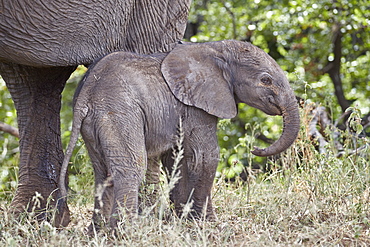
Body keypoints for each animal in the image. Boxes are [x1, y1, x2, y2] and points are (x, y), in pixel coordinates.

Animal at [58, 40, 300, 228]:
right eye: (266, 80)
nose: (256, 148)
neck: (215, 48)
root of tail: (86, 93)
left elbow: (178, 159)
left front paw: (184, 219)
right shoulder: (196, 107)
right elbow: (205, 157)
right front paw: (207, 223)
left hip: (93, 122)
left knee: (102, 173)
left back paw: (99, 234)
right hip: (119, 111)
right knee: (131, 168)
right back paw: (127, 233)